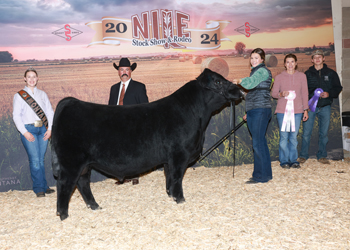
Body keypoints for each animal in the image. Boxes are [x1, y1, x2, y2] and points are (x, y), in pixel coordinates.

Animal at [51, 68, 243, 219]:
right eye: (218, 81)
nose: (240, 91)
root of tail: (71, 101)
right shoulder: (179, 155)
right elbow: (177, 177)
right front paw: (180, 199)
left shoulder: (169, 159)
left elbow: (169, 177)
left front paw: (170, 195)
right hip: (71, 162)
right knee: (65, 184)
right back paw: (63, 215)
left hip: (84, 164)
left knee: (82, 183)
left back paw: (94, 206)